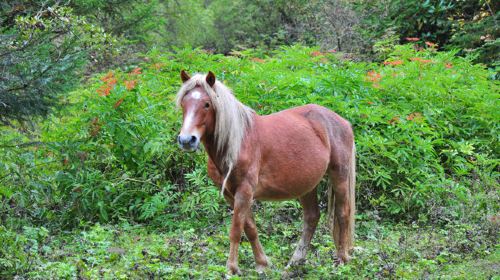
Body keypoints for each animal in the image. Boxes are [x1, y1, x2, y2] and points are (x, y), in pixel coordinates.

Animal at [176, 70, 356, 274]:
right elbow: (250, 229)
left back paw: (341, 260)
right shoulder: (232, 195)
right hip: (307, 186)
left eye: (207, 104)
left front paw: (232, 269)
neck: (236, 143)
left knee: (342, 213)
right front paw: (262, 264)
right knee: (312, 217)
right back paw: (295, 261)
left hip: (339, 175)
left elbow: (236, 230)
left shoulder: (244, 191)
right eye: (183, 103)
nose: (186, 140)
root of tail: (342, 122)